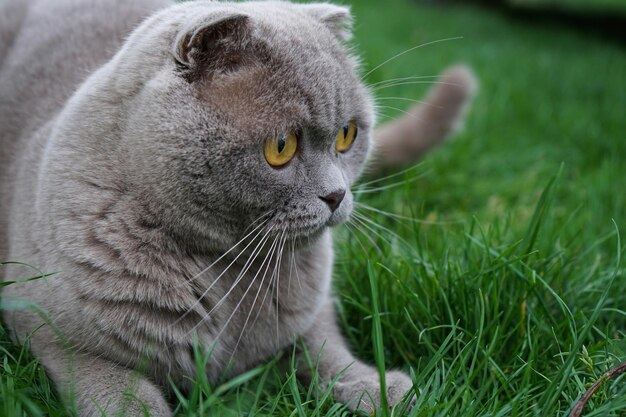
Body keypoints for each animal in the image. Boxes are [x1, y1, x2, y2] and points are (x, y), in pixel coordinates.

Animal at [0, 0, 472, 412]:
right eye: (281, 147)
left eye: (347, 135)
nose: (337, 195)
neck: (226, 275)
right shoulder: (52, 332)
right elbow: (117, 390)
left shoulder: (312, 306)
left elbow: (323, 344)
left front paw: (377, 387)